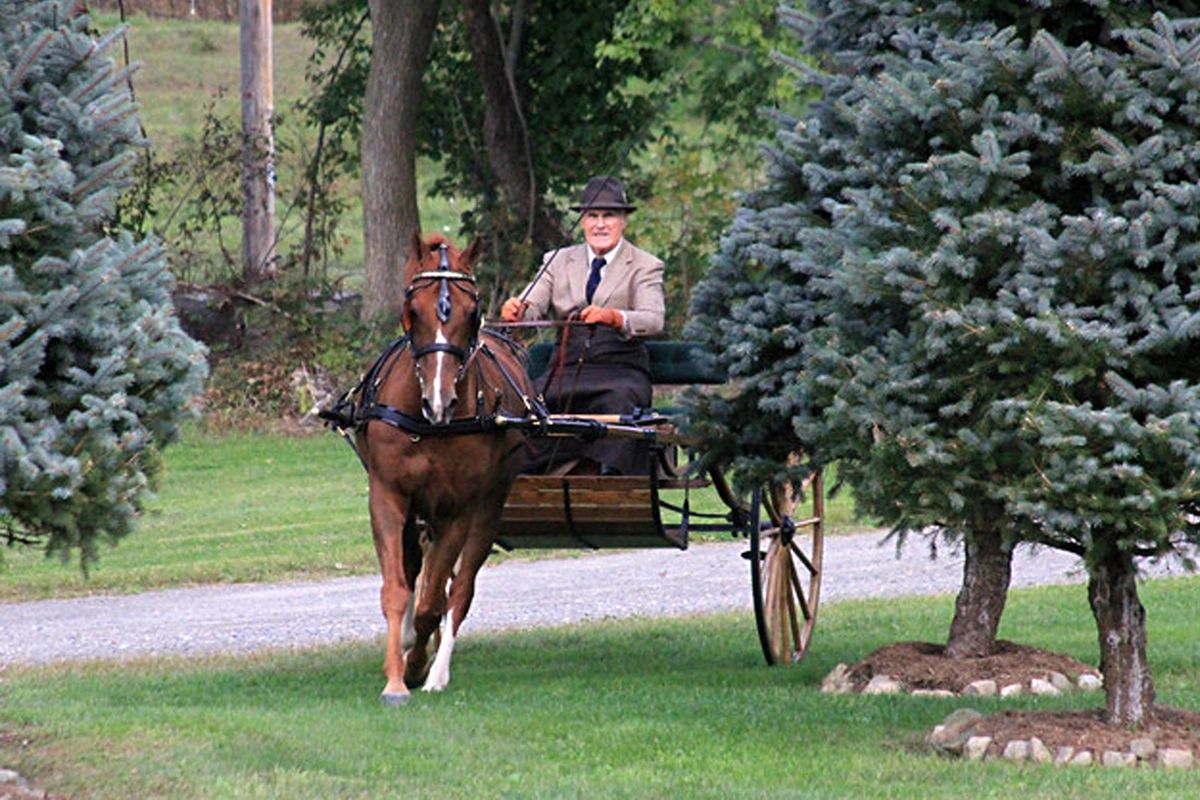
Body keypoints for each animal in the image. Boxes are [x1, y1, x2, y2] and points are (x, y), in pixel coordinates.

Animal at [352, 232, 537, 705]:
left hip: (488, 507)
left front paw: (418, 666)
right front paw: (395, 678)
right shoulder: (388, 497)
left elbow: (434, 603)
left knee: (460, 590)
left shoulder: (458, 509)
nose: (440, 401)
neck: (430, 424)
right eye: (412, 310)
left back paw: (437, 668)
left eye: (472, 313)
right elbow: (398, 590)